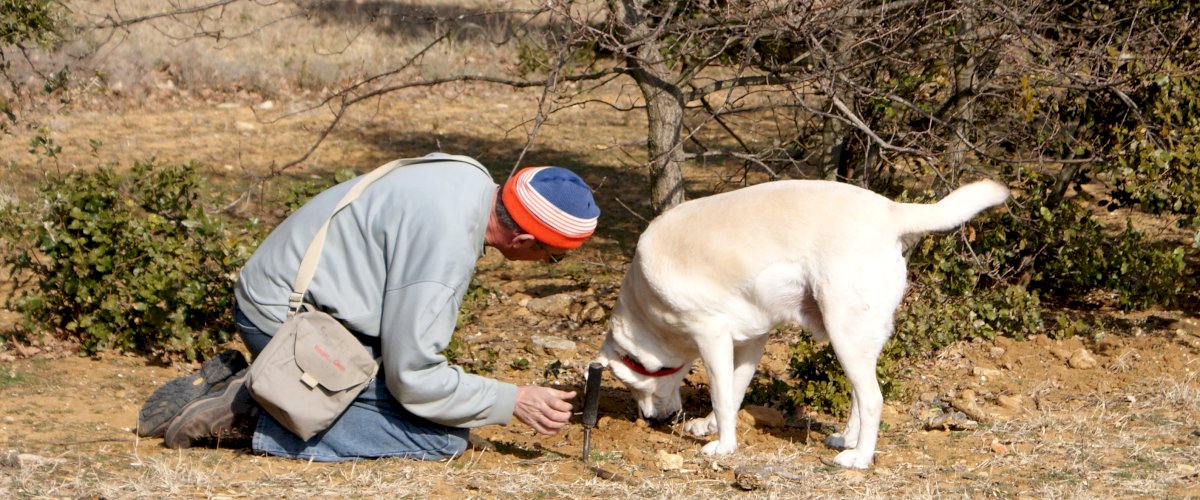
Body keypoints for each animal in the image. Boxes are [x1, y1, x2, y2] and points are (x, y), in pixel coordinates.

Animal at [595, 179, 1008, 467]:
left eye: (632, 384)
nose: (650, 420)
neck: (645, 305)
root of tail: (891, 211)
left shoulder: (711, 337)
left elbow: (722, 395)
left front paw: (723, 447)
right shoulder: (752, 341)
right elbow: (735, 393)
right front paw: (710, 427)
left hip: (843, 333)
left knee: (873, 399)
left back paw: (859, 458)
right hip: (856, 340)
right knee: (860, 394)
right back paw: (848, 440)